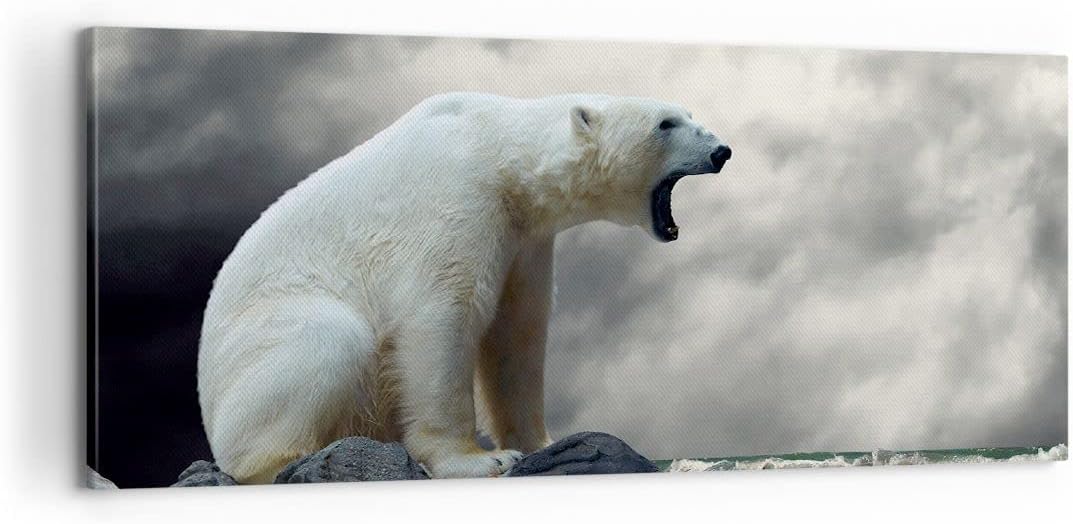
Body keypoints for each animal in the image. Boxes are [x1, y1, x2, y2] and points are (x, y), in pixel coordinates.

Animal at [197, 93, 731, 483]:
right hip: (267, 341)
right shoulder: (458, 202)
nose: (721, 150)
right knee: (330, 339)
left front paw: (544, 443)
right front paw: (481, 459)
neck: (497, 150)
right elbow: (441, 315)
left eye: (688, 113)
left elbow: (518, 332)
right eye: (665, 123)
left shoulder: (524, 237)